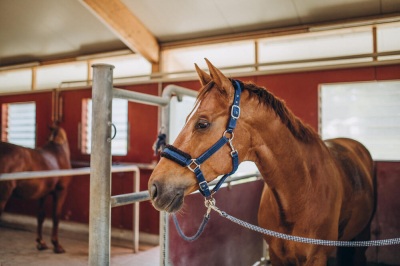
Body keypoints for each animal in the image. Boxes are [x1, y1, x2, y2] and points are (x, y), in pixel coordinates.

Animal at [148, 60, 376, 266]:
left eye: (202, 124)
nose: (154, 188)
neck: (301, 192)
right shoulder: (276, 256)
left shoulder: (317, 259)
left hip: (362, 236)